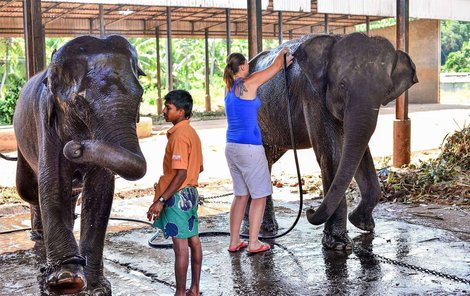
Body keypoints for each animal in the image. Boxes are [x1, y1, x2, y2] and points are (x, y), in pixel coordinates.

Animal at [11, 35, 147, 294]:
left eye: (141, 97)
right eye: (80, 105)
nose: (75, 148)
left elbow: (100, 192)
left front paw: (96, 288)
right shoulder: (46, 122)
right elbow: (53, 183)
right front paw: (65, 281)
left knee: (72, 193)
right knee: (30, 191)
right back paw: (38, 235)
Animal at [250, 31, 418, 250]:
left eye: (386, 90)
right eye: (342, 85)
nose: (309, 210)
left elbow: (360, 152)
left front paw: (363, 225)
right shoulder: (313, 95)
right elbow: (331, 155)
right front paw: (339, 245)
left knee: (267, 160)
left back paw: (266, 227)